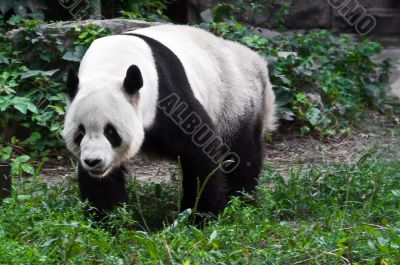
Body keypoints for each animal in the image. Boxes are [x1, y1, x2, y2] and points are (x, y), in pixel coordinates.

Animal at [62, 24, 276, 217]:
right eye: (80, 132)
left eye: (110, 131)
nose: (93, 161)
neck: (110, 66)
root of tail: (257, 60)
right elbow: (101, 183)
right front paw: (109, 221)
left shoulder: (168, 98)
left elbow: (200, 152)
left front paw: (199, 215)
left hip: (237, 99)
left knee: (242, 153)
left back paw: (242, 200)